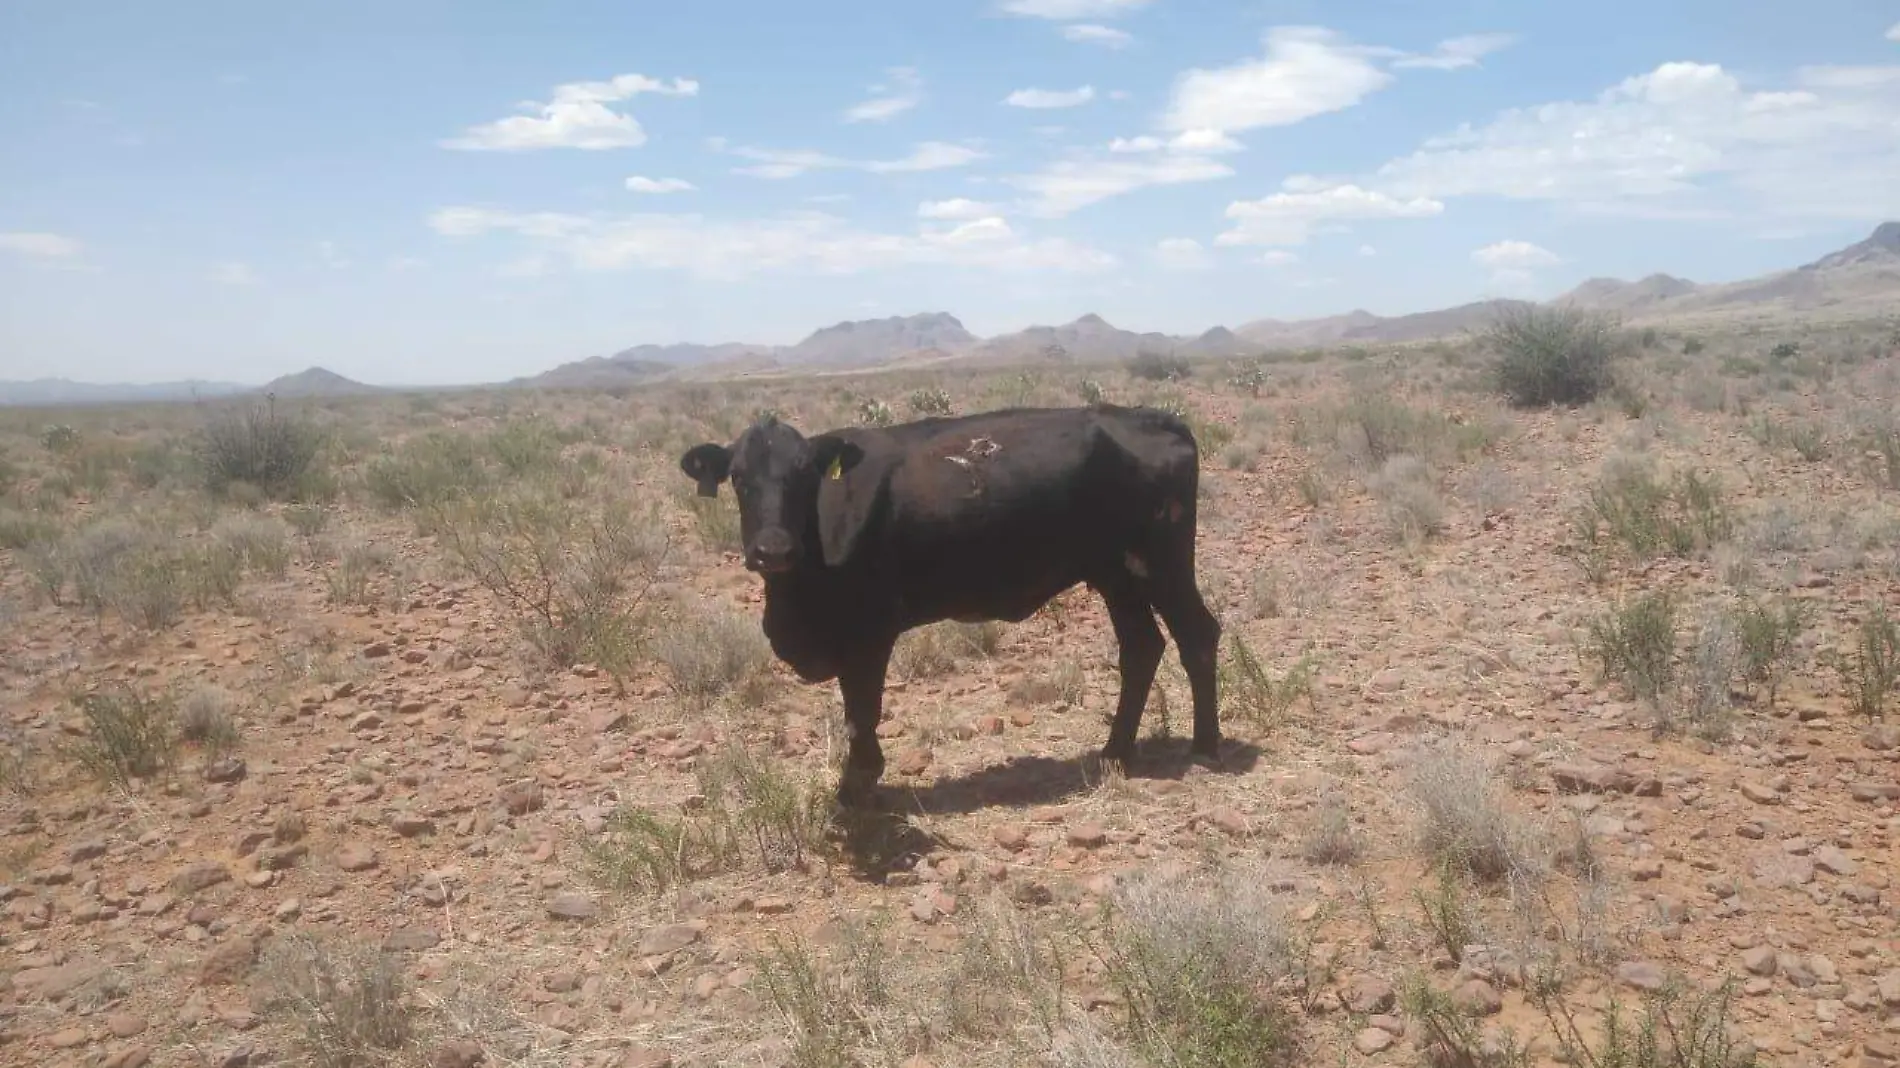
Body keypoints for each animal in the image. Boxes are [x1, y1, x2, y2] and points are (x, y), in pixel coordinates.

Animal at [676, 402, 1223, 801]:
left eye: (805, 474)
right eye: (738, 477)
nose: (773, 549)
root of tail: (1153, 417)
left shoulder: (871, 631)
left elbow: (861, 711)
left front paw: (857, 786)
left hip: (1162, 564)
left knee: (1198, 634)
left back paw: (1205, 746)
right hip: (1116, 575)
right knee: (1142, 648)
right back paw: (1114, 752)